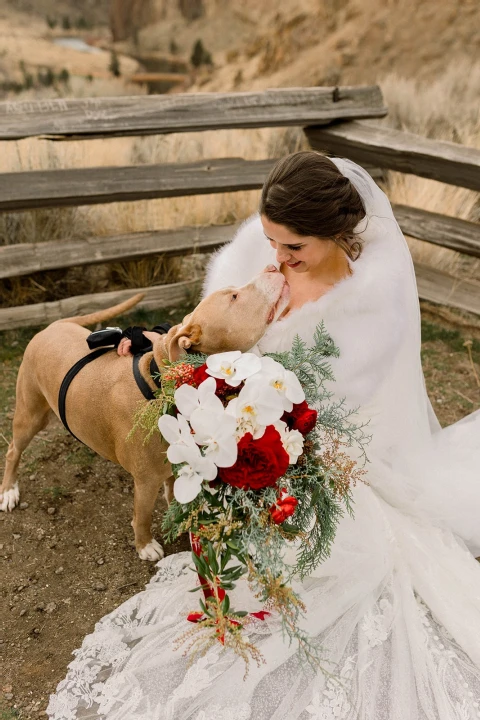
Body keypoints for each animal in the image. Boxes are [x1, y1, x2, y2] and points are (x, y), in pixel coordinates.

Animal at [0, 268, 288, 560]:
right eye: (234, 297)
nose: (273, 268)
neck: (163, 387)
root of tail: (53, 325)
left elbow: (174, 496)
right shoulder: (146, 481)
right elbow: (142, 515)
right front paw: (144, 545)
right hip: (30, 415)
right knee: (13, 450)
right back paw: (9, 491)